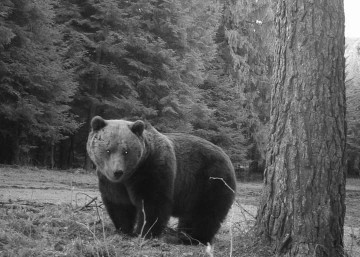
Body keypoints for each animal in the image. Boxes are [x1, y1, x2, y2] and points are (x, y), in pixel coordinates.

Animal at [87, 116, 236, 244]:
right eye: (108, 150)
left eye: (126, 151)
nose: (117, 172)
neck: (131, 175)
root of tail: (227, 158)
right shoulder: (110, 181)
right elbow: (119, 204)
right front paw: (124, 230)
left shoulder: (153, 169)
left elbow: (153, 203)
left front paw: (143, 232)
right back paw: (183, 235)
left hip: (210, 180)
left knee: (205, 213)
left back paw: (192, 238)